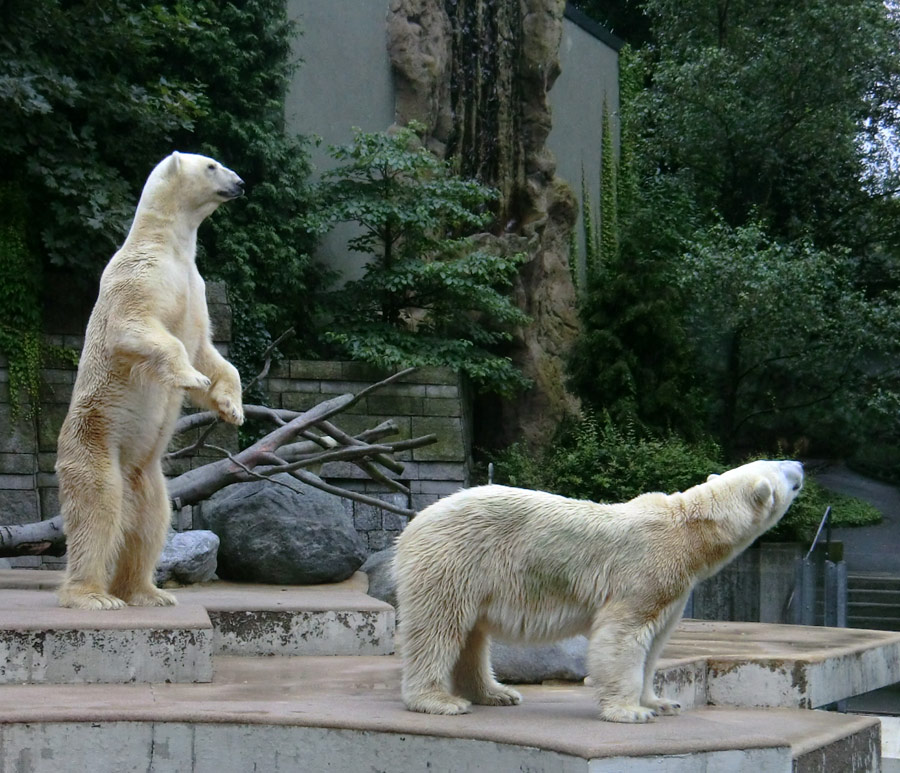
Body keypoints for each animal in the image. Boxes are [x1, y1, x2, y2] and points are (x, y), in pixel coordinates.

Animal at [56, 151, 246, 608]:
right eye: (211, 165)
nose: (241, 183)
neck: (168, 245)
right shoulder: (140, 276)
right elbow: (135, 326)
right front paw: (191, 378)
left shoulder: (195, 289)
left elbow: (208, 350)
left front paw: (231, 407)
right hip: (93, 441)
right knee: (97, 508)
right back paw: (93, 596)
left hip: (147, 472)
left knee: (153, 517)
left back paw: (148, 592)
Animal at [398, 456, 804, 720]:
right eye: (779, 468)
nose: (800, 464)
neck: (687, 533)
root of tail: (414, 523)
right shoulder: (644, 571)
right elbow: (622, 636)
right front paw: (630, 711)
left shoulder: (674, 589)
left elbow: (655, 644)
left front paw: (661, 702)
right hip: (453, 560)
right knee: (437, 628)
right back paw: (440, 701)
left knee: (471, 634)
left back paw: (496, 693)